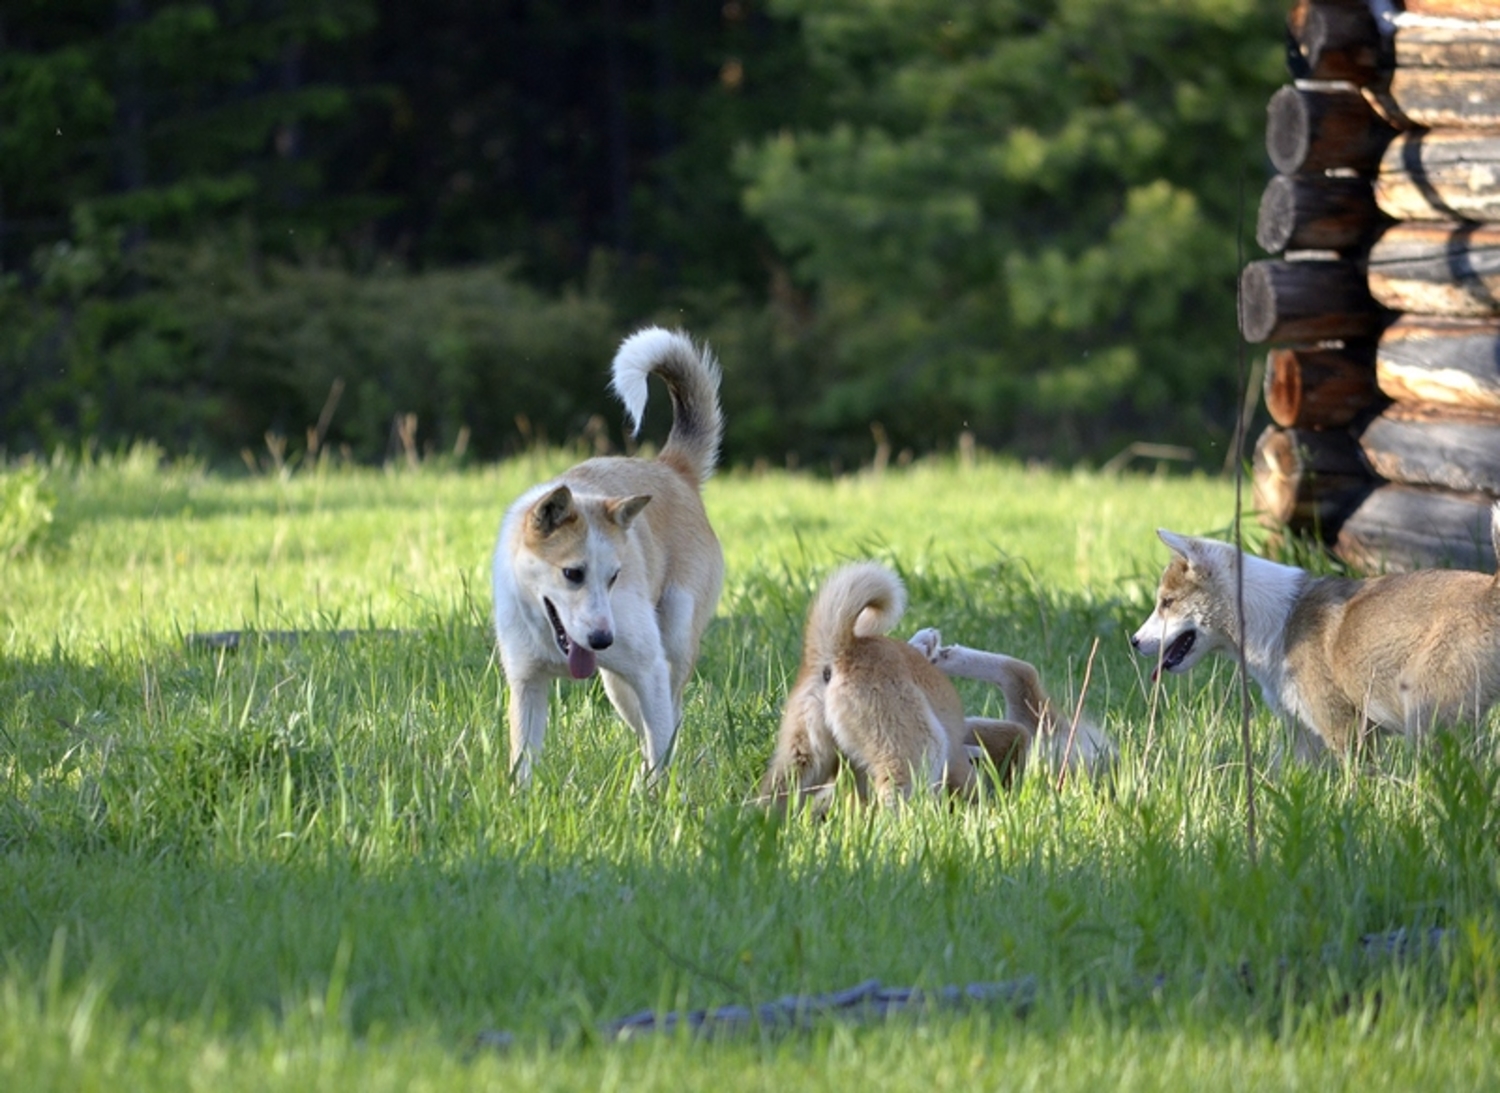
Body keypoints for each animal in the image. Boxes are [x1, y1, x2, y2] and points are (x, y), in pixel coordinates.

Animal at [492, 323, 726, 785]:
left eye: (615, 577)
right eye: (572, 574)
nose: (603, 638)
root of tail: (672, 468)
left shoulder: (649, 669)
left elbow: (661, 743)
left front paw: (656, 795)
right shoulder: (527, 685)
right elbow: (523, 761)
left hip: (670, 642)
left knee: (669, 720)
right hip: (617, 688)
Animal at [1128, 503, 1500, 755]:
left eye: (1167, 603)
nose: (1133, 641)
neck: (1272, 618)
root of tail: (1490, 589)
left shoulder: (1346, 731)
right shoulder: (1306, 737)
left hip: (1426, 714)